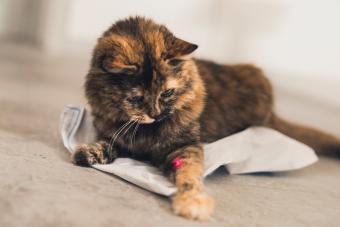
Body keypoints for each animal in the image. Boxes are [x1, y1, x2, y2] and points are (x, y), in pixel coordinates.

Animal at [73, 17, 340, 220]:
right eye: (137, 98)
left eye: (167, 93)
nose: (156, 115)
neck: (147, 134)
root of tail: (274, 114)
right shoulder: (116, 135)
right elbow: (106, 144)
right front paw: (87, 153)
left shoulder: (184, 148)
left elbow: (189, 175)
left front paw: (193, 202)